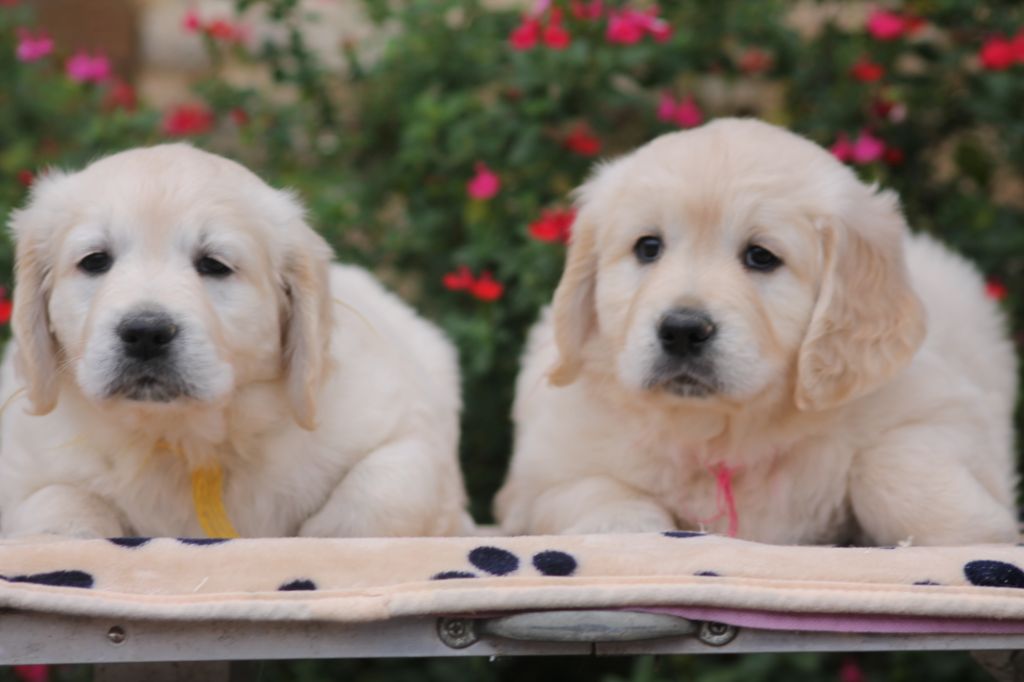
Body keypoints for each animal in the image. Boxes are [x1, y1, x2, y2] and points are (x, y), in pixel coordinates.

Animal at [0, 142, 471, 536]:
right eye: (95, 261)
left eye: (214, 265)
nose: (146, 333)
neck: (183, 439)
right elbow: (55, 505)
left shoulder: (408, 428)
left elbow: (385, 490)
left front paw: (323, 539)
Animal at [495, 115, 1015, 540]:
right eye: (648, 247)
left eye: (761, 257)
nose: (682, 330)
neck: (724, 431)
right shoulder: (542, 471)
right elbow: (595, 490)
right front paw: (625, 527)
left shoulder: (947, 412)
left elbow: (891, 464)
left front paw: (976, 527)